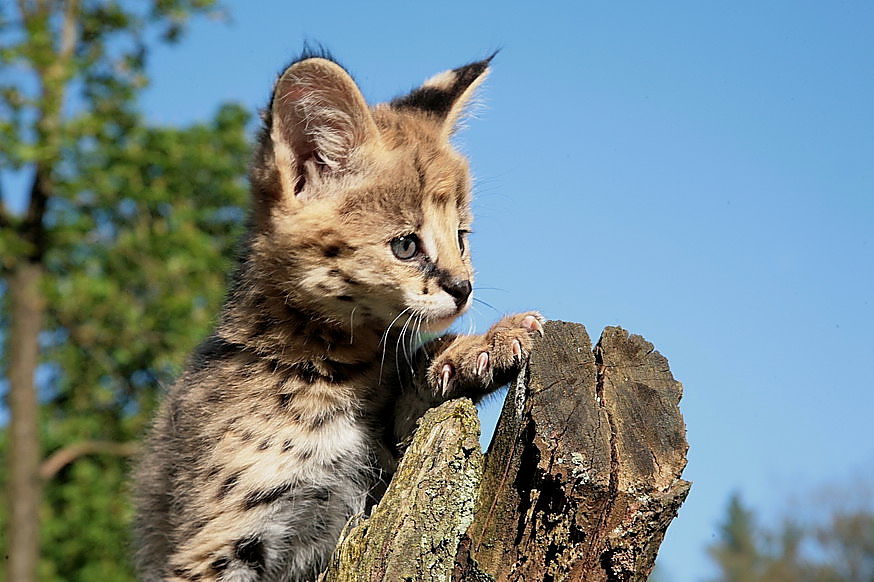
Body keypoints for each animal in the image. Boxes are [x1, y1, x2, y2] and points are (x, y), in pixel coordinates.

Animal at [133, 54, 540, 582]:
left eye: (461, 237)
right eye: (405, 246)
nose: (463, 288)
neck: (331, 368)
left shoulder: (382, 470)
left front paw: (478, 349)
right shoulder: (217, 542)